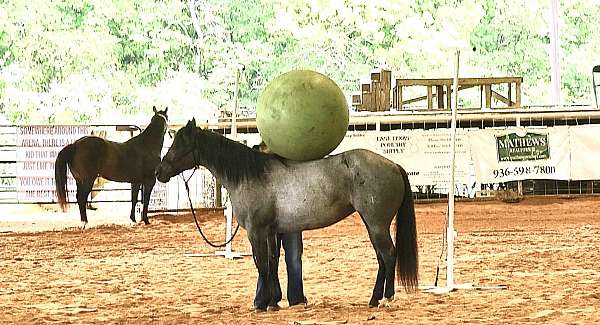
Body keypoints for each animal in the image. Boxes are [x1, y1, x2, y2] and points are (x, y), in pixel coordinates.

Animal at [155, 119, 418, 308]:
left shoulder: (256, 232)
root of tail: (393, 165)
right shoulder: (271, 231)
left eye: (179, 145)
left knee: (389, 255)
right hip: (372, 225)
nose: (159, 172)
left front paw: (262, 305)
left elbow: (261, 265)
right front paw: (272, 302)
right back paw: (373, 300)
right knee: (381, 258)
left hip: (377, 224)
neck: (251, 174)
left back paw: (386, 299)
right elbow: (272, 263)